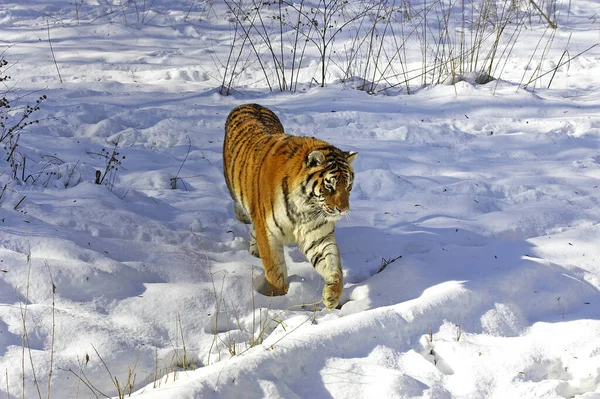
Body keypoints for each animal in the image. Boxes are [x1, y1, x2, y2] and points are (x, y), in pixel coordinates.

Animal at [224, 103, 356, 310]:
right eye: (330, 186)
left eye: (349, 185)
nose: (344, 210)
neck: (305, 207)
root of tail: (251, 104)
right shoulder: (268, 232)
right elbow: (275, 271)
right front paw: (277, 298)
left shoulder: (317, 235)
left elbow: (333, 263)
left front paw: (332, 295)